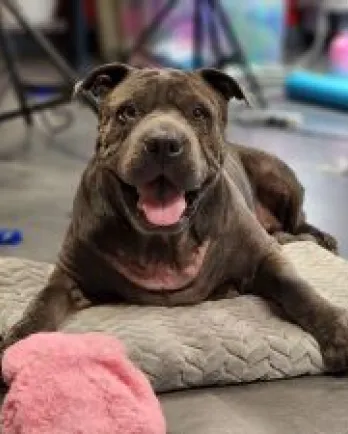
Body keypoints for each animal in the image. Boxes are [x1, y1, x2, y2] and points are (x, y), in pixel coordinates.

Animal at [0, 62, 348, 376]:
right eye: (128, 112)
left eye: (199, 113)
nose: (163, 143)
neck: (163, 241)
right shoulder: (69, 275)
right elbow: (42, 303)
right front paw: (17, 340)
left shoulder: (264, 258)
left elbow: (297, 289)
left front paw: (336, 328)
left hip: (278, 175)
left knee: (297, 222)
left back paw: (320, 239)